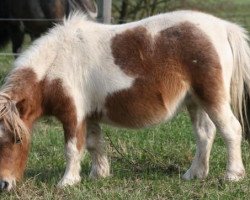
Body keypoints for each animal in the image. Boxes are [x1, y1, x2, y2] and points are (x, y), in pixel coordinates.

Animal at [0, 10, 250, 191]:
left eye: (18, 140)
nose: (4, 184)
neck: (57, 62)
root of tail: (223, 27)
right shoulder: (90, 116)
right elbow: (94, 144)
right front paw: (98, 175)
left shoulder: (73, 114)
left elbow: (72, 148)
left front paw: (67, 182)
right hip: (195, 102)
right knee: (204, 134)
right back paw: (193, 174)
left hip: (212, 98)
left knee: (231, 130)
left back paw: (232, 176)